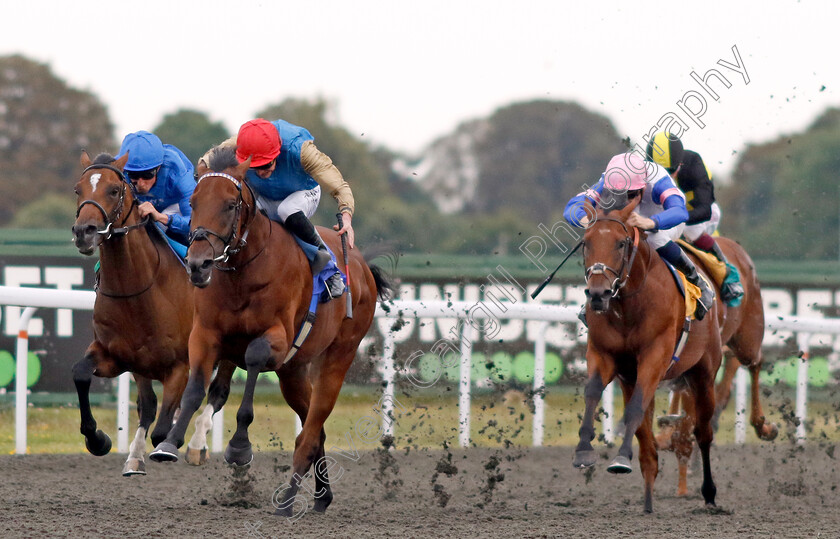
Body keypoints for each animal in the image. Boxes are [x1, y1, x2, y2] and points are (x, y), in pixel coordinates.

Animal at [70, 150, 230, 474]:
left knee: (217, 394)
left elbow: (163, 428)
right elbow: (85, 375)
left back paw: (197, 445)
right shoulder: (124, 359)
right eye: (78, 190)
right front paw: (104, 442)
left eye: (114, 190)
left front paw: (169, 445)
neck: (139, 294)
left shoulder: (181, 365)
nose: (83, 232)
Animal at [149, 148, 392, 520]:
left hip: (338, 357)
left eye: (230, 205)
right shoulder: (205, 335)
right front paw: (168, 442)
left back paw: (289, 499)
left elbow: (252, 360)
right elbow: (194, 389)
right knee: (316, 430)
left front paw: (238, 447)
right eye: (193, 201)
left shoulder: (276, 337)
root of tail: (363, 268)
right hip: (294, 372)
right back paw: (321, 496)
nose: (198, 264)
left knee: (311, 430)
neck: (243, 271)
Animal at [576, 196, 720, 512]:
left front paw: (620, 459)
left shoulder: (654, 357)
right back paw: (648, 499)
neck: (630, 304)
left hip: (703, 373)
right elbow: (593, 393)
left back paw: (709, 493)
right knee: (646, 435)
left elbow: (635, 410)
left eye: (621, 243)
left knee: (703, 433)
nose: (598, 294)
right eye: (585, 243)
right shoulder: (604, 355)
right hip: (632, 378)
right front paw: (584, 450)